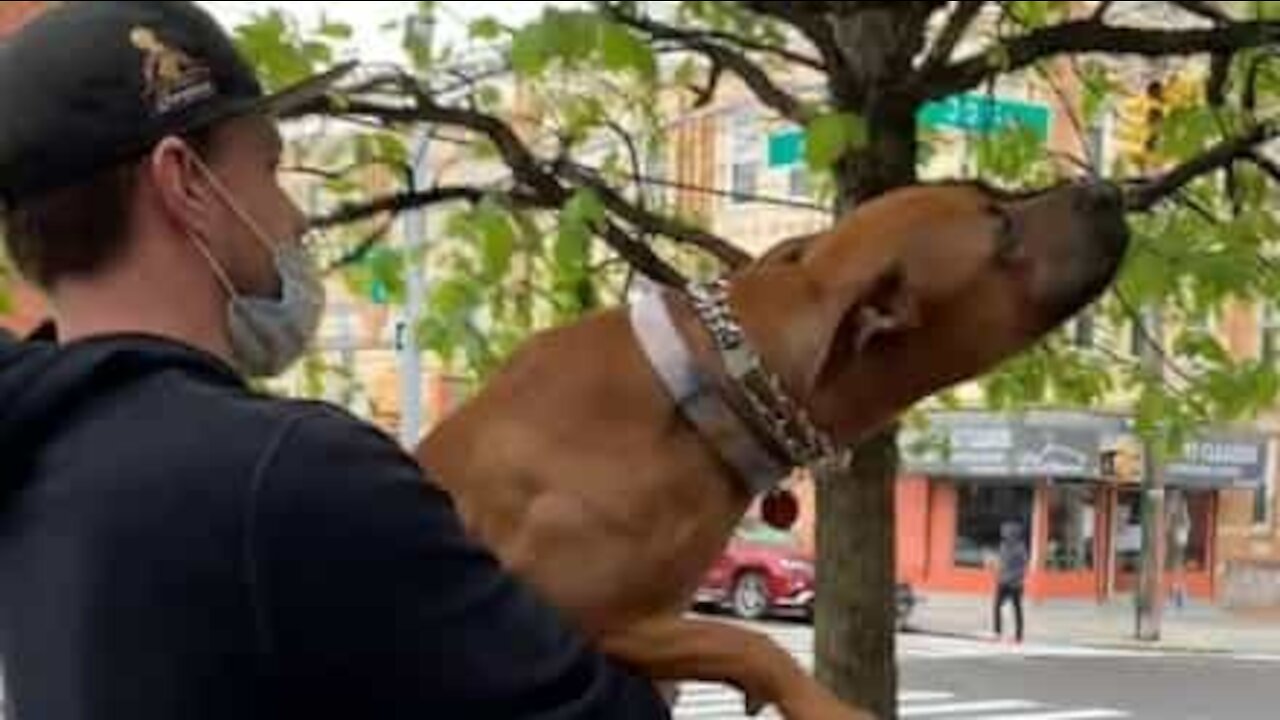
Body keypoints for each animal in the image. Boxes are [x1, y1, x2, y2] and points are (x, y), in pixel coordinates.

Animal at [414, 179, 1126, 717]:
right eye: (1000, 227)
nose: (1109, 189)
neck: (713, 388)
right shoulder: (563, 606)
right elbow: (750, 642)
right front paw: (826, 708)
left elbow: (728, 637)